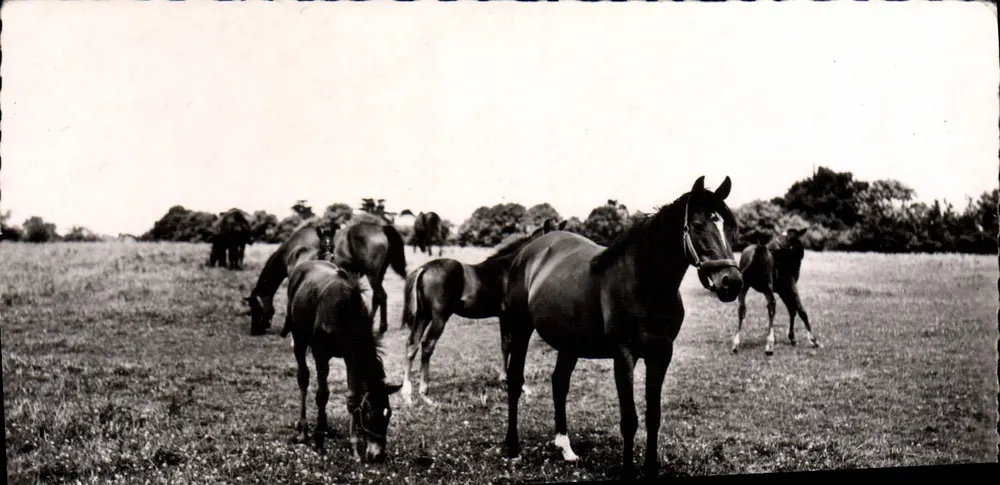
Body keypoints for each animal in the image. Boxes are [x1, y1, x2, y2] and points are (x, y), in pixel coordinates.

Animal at [282, 260, 403, 462]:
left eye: (388, 413)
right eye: (369, 412)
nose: (378, 455)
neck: (345, 314)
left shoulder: (350, 356)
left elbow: (352, 398)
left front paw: (354, 449)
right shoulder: (321, 354)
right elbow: (322, 394)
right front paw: (319, 439)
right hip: (298, 338)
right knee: (303, 378)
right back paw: (303, 430)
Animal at [399, 218, 567, 406]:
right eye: (550, 244)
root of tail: (425, 269)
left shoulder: (503, 317)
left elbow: (504, 345)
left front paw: (504, 379)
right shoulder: (509, 316)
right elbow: (509, 345)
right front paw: (514, 383)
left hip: (423, 316)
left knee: (412, 344)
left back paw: (407, 395)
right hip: (438, 318)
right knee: (427, 345)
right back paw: (425, 394)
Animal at [499, 176, 744, 478]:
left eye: (730, 228)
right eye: (698, 225)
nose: (731, 282)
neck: (644, 283)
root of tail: (531, 250)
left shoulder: (661, 354)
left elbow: (653, 415)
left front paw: (650, 468)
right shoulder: (624, 354)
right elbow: (630, 419)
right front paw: (628, 470)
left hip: (569, 343)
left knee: (559, 383)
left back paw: (566, 448)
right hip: (521, 328)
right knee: (515, 381)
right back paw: (513, 449)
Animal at [732, 226, 821, 355]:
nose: (771, 246)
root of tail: (757, 251)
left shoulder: (781, 289)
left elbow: (792, 310)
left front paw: (792, 338)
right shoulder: (790, 285)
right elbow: (800, 309)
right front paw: (813, 340)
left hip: (746, 287)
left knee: (742, 308)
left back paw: (736, 343)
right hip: (767, 286)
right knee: (771, 306)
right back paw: (769, 344)